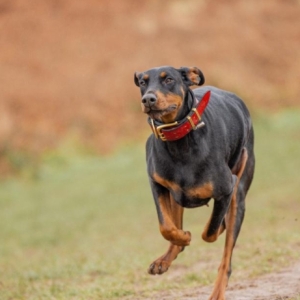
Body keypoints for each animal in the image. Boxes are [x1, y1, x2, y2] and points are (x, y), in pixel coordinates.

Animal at [135, 66, 254, 300]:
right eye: (143, 82)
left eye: (169, 80)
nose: (148, 99)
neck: (179, 140)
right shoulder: (157, 184)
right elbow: (166, 226)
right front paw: (183, 238)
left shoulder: (227, 188)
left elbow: (210, 232)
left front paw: (206, 230)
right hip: (176, 194)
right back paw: (166, 257)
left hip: (239, 194)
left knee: (226, 257)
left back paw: (217, 292)